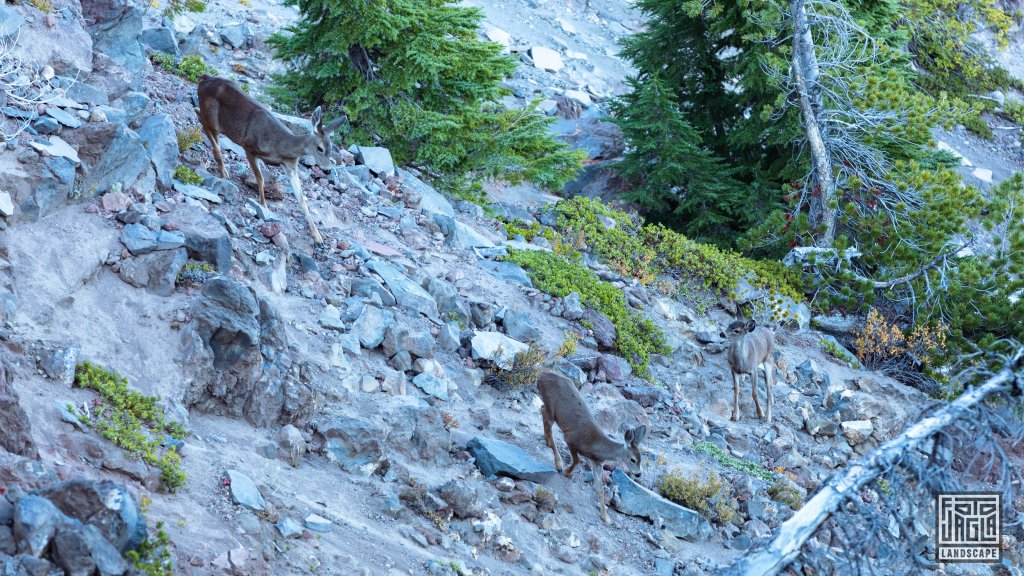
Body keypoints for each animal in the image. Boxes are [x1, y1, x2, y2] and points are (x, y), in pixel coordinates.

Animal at [193, 73, 346, 243]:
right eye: (320, 148)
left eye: (331, 149)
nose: (327, 170)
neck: (280, 147)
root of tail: (204, 78)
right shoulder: (249, 147)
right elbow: (260, 179)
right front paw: (263, 204)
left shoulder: (290, 165)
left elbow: (302, 199)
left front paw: (317, 236)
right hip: (212, 116)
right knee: (200, 116)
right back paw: (222, 168)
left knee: (201, 118)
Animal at [536, 368, 647, 522]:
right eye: (633, 459)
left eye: (641, 458)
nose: (638, 474)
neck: (594, 445)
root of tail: (541, 377)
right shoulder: (571, 438)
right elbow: (577, 460)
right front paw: (566, 471)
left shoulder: (597, 463)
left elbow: (600, 489)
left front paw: (605, 517)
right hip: (552, 408)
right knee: (547, 421)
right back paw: (558, 463)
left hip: (549, 407)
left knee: (542, 411)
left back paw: (547, 442)